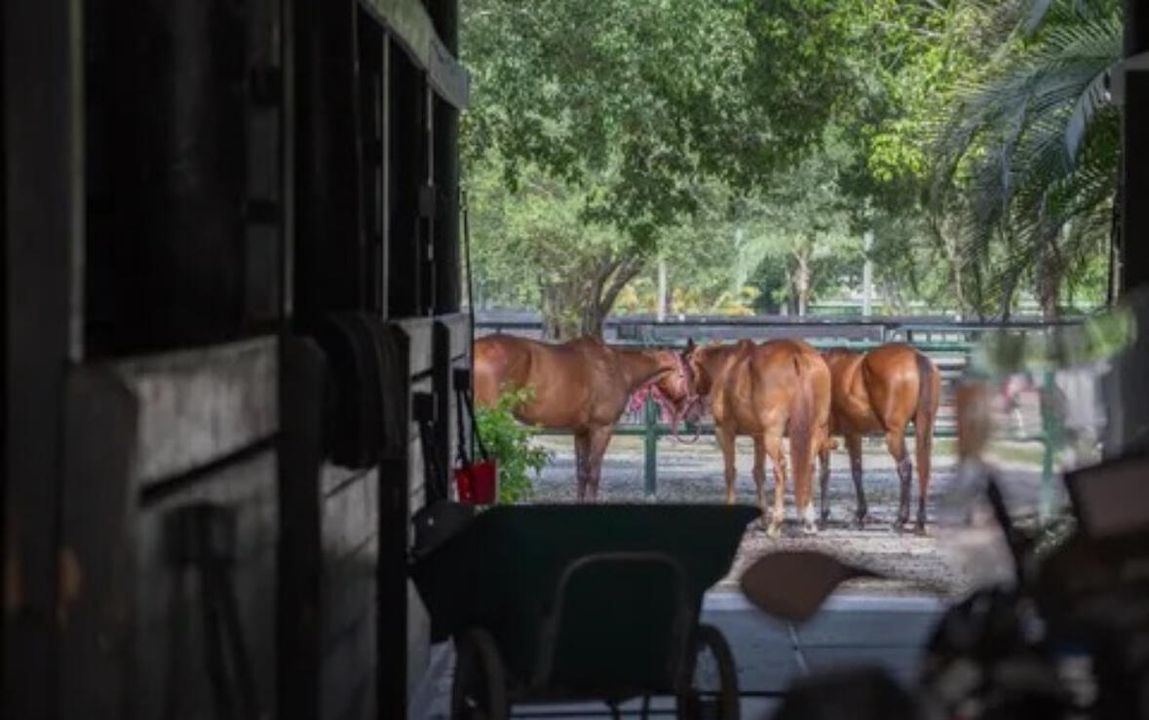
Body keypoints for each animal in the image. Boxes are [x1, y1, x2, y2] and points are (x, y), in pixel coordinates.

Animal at [471, 337, 684, 500]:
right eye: (684, 375)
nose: (684, 404)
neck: (619, 367)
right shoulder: (602, 428)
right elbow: (593, 474)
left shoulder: (581, 431)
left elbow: (582, 473)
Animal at [666, 337, 827, 535]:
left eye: (684, 372)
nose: (689, 415)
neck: (726, 366)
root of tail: (796, 352)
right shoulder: (758, 437)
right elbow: (758, 473)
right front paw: (763, 518)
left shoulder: (725, 431)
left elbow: (730, 472)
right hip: (814, 431)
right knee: (809, 467)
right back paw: (809, 522)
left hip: (774, 434)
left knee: (780, 469)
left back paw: (776, 524)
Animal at [818, 344, 932, 535]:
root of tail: (915, 357)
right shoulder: (853, 434)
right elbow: (856, 472)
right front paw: (859, 516)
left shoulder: (823, 434)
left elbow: (824, 473)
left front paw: (823, 516)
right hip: (924, 429)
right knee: (923, 468)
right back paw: (919, 523)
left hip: (894, 435)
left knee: (905, 467)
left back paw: (900, 521)